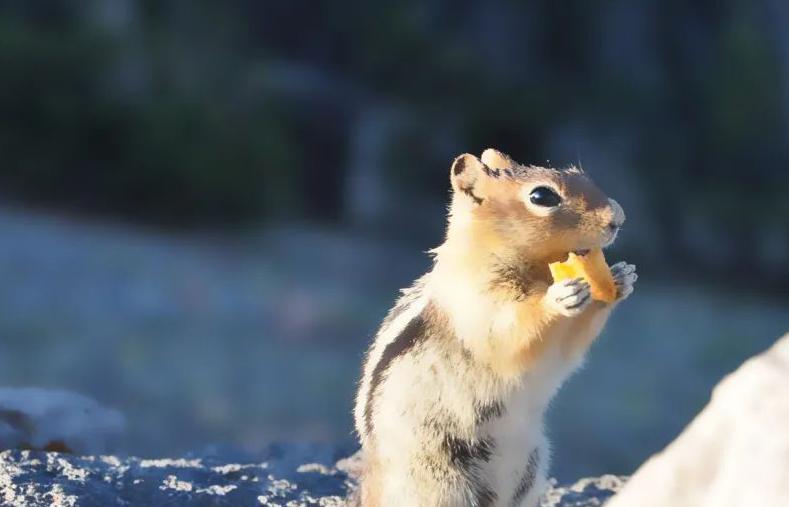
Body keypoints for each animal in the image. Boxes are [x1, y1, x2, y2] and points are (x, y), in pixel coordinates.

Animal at [354, 150, 636, 507]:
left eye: (582, 175)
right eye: (542, 197)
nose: (618, 217)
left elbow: (569, 347)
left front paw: (621, 278)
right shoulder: (479, 303)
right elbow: (510, 333)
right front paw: (558, 298)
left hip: (531, 469)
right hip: (442, 482)